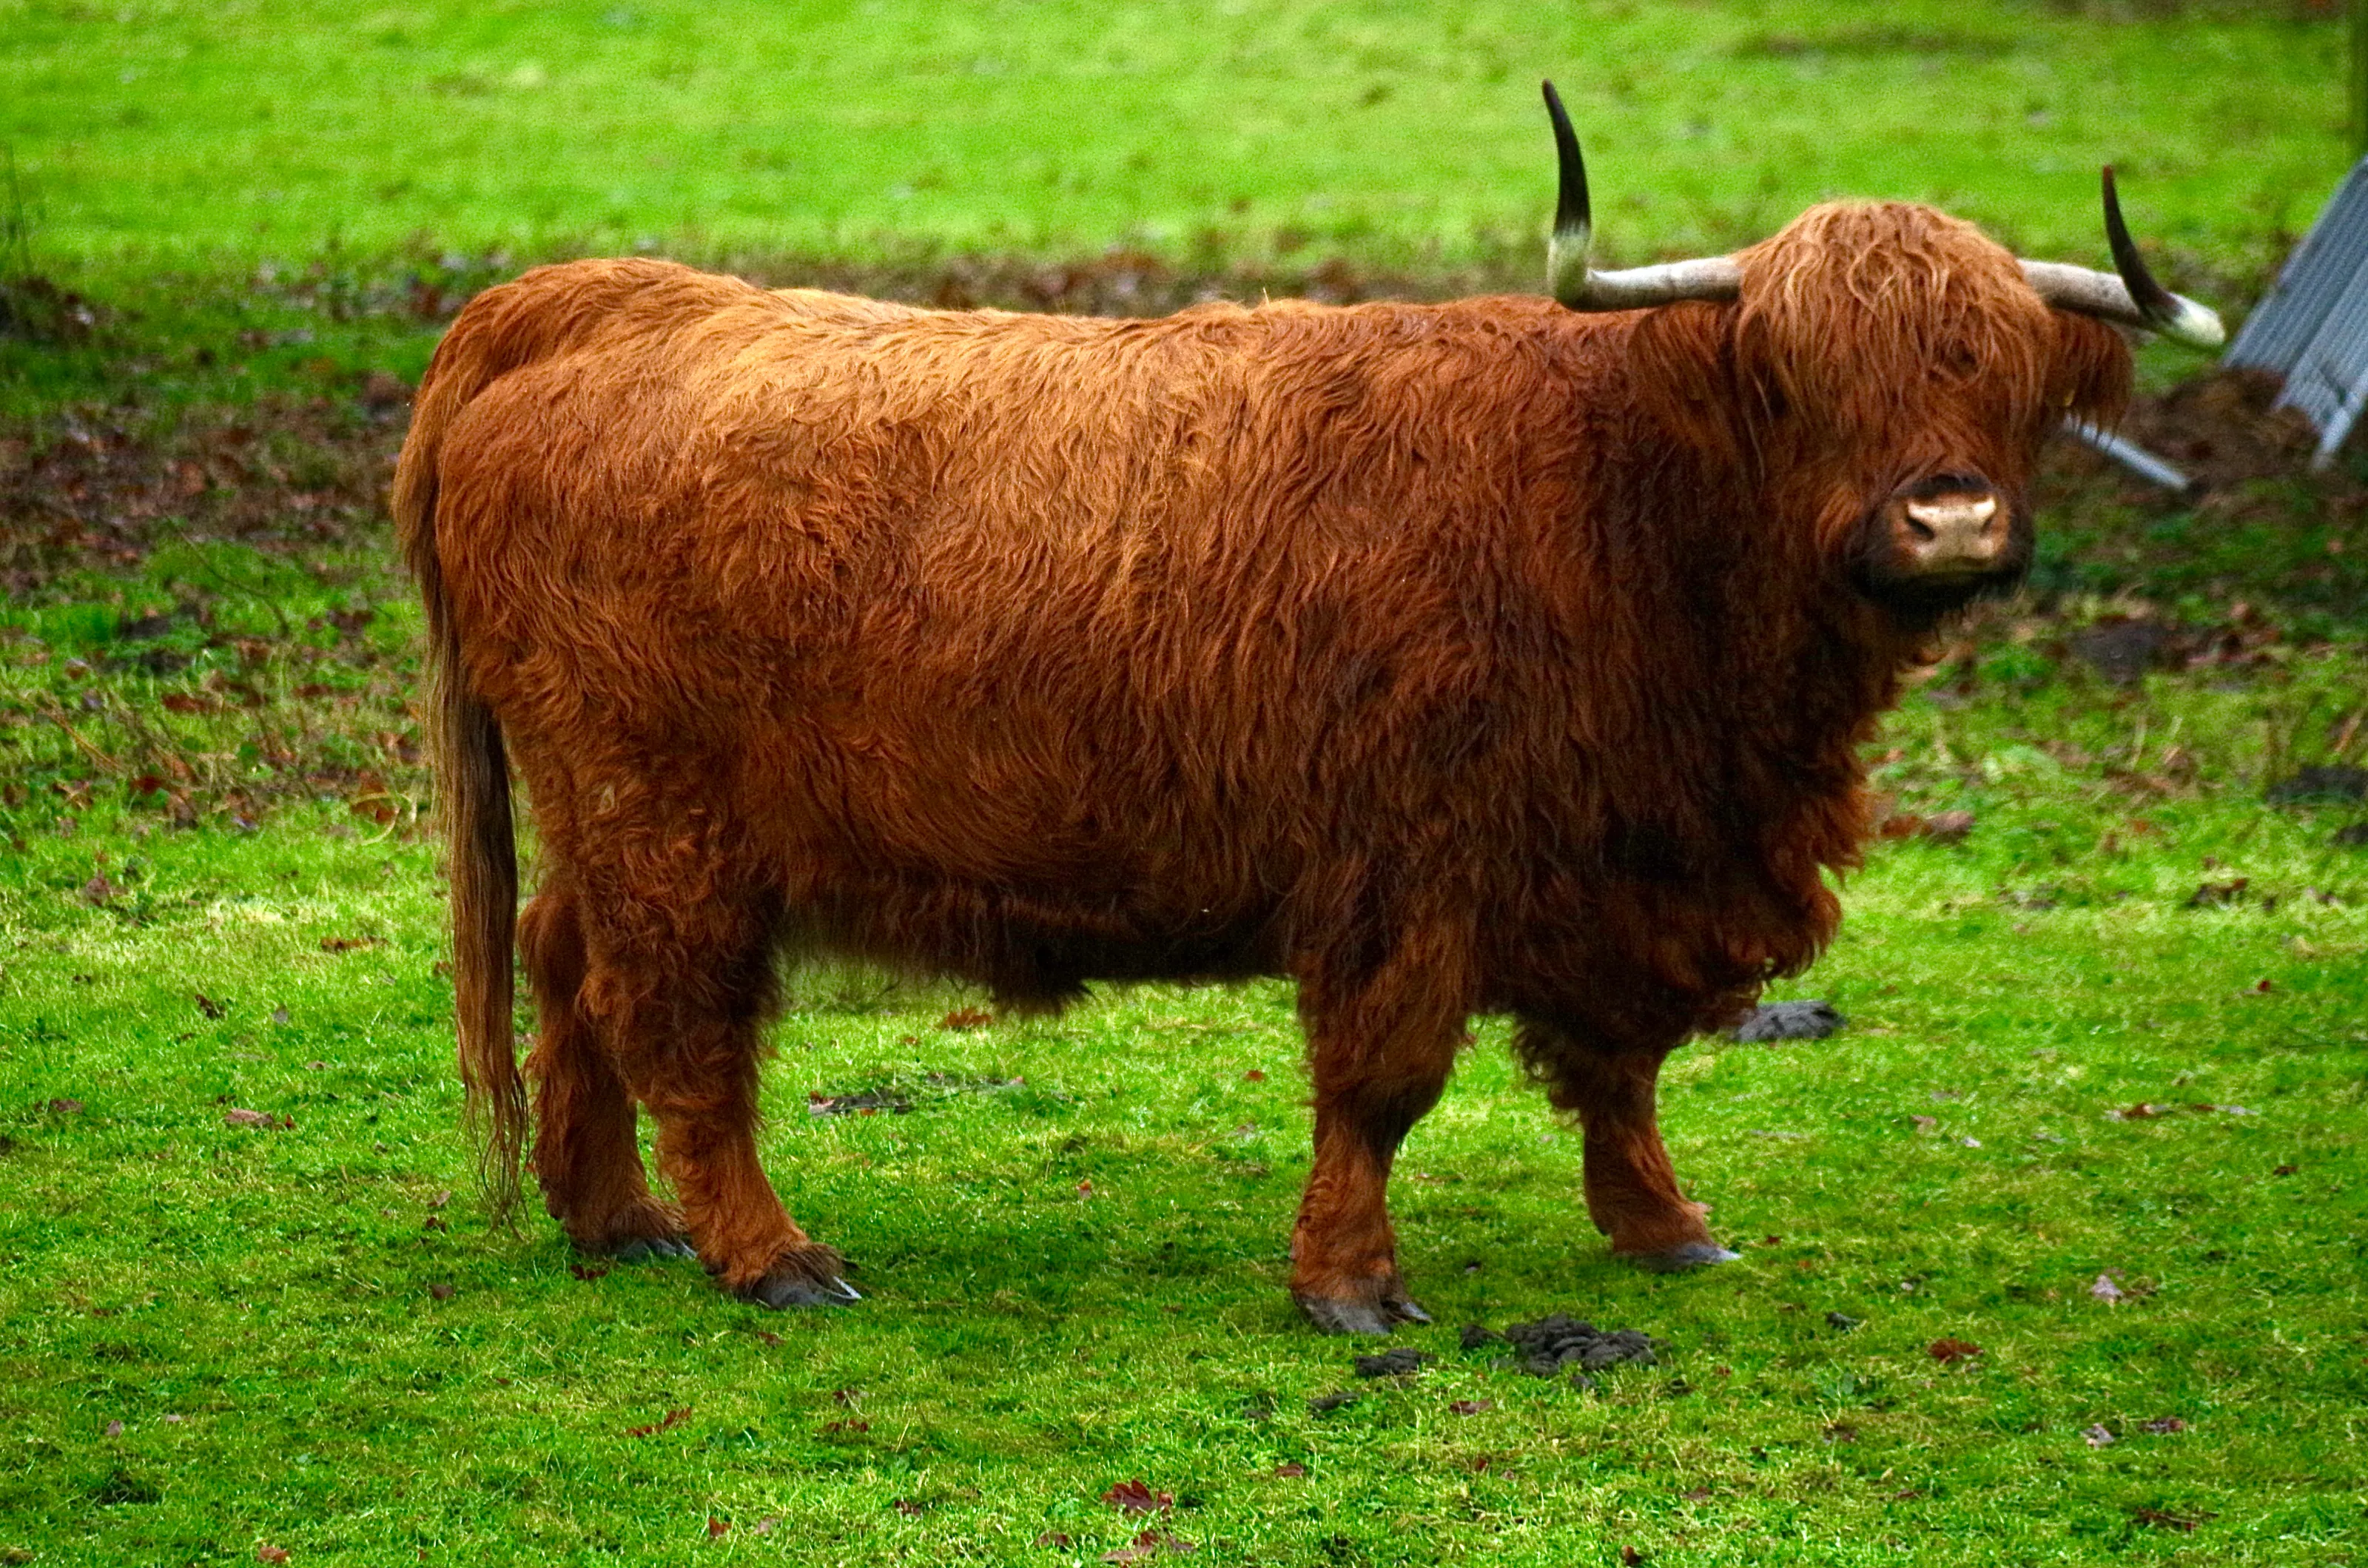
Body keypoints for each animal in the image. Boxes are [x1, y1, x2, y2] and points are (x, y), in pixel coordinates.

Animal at [392, 84, 2219, 1332]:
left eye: (2004, 370)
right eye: (1800, 374)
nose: (1948, 518)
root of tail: (595, 298)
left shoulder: (1610, 864)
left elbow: (1619, 1068)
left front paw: (1662, 1225)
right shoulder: (1406, 868)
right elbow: (1384, 1086)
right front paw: (1348, 1281)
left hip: (617, 818)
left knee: (565, 966)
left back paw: (612, 1219)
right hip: (668, 821)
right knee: (677, 1023)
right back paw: (766, 1254)